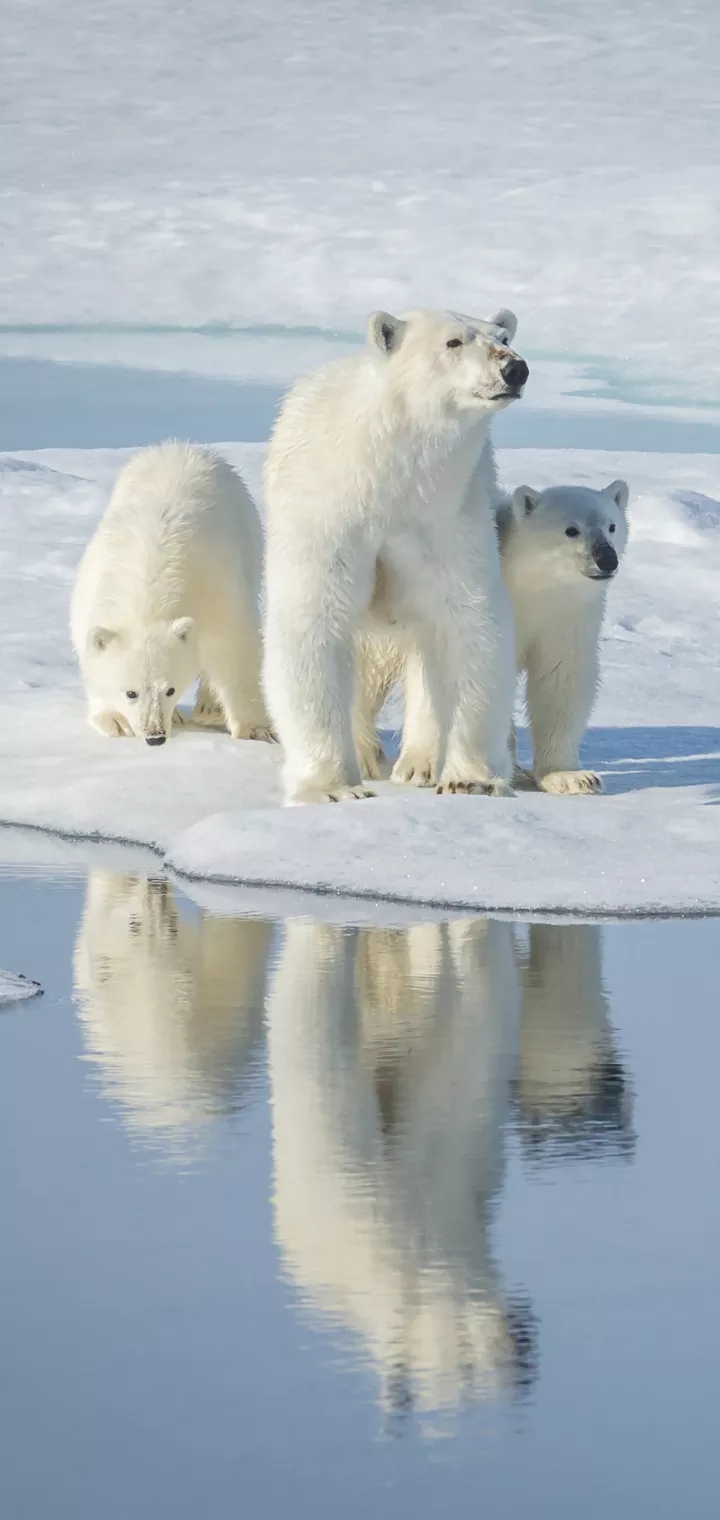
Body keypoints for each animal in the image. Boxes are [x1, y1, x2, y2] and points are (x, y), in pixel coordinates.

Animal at [70, 441, 273, 745]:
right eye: (131, 692)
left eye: (170, 689)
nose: (155, 736)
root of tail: (181, 446)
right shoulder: (93, 589)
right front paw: (115, 721)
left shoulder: (215, 589)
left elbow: (235, 648)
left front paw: (255, 730)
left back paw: (208, 707)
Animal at [262, 307, 528, 804]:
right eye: (453, 342)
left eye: (503, 337)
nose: (514, 369)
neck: (390, 476)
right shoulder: (329, 514)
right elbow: (314, 623)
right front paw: (333, 787)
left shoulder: (447, 518)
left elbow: (469, 622)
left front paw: (470, 778)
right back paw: (367, 756)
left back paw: (417, 763)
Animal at [355, 478, 628, 796]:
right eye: (571, 529)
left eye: (612, 526)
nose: (606, 558)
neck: (528, 590)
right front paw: (420, 768)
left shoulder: (565, 617)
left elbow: (561, 681)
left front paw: (572, 777)